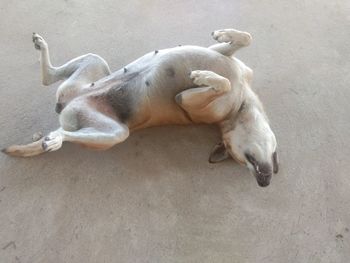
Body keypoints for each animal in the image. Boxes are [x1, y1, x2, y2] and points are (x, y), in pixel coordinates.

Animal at [0, 28, 278, 188]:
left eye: (236, 159)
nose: (266, 179)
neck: (242, 102)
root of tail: (67, 104)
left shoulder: (185, 100)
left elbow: (222, 83)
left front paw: (205, 76)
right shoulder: (223, 56)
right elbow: (244, 39)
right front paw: (224, 35)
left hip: (113, 132)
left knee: (65, 131)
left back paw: (55, 139)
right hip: (93, 66)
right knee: (49, 78)